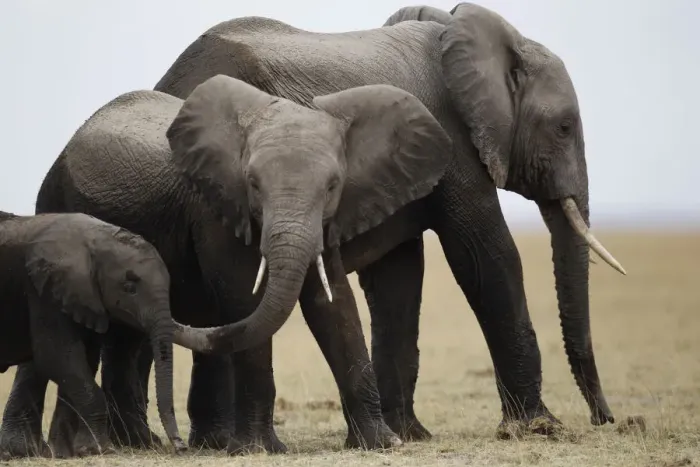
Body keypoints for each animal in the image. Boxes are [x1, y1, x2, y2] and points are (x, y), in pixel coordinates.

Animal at [0, 209, 241, 458]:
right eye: (129, 288)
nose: (181, 446)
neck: (94, 240)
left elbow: (81, 363)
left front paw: (75, 451)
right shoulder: (44, 294)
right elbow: (56, 357)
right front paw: (101, 449)